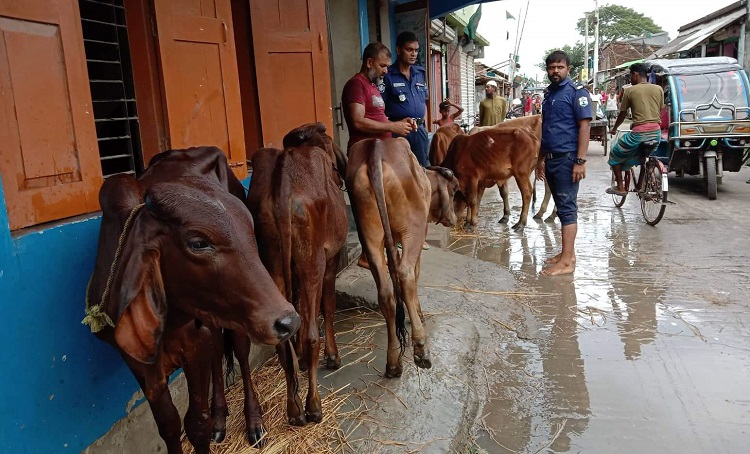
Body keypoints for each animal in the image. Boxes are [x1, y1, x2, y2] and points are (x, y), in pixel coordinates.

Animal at [88, 147, 300, 452]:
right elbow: (169, 425)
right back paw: (220, 417)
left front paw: (213, 423)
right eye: (198, 243)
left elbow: (196, 423)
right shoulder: (142, 367)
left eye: (249, 234)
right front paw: (210, 421)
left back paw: (253, 421)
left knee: (240, 353)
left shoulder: (195, 348)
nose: (288, 321)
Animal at [248, 123, 352, 430]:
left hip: (273, 263)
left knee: (284, 340)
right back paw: (313, 406)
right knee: (310, 335)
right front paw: (332, 356)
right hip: (312, 263)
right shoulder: (331, 260)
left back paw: (293, 409)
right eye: (329, 143)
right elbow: (326, 308)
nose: (341, 166)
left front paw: (303, 363)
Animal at [346, 137, 458, 378]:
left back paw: (393, 363)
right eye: (454, 190)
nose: (453, 218)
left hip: (370, 234)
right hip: (411, 231)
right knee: (406, 275)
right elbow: (415, 276)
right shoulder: (418, 235)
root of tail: (375, 148)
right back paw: (421, 349)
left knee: (386, 293)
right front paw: (418, 313)